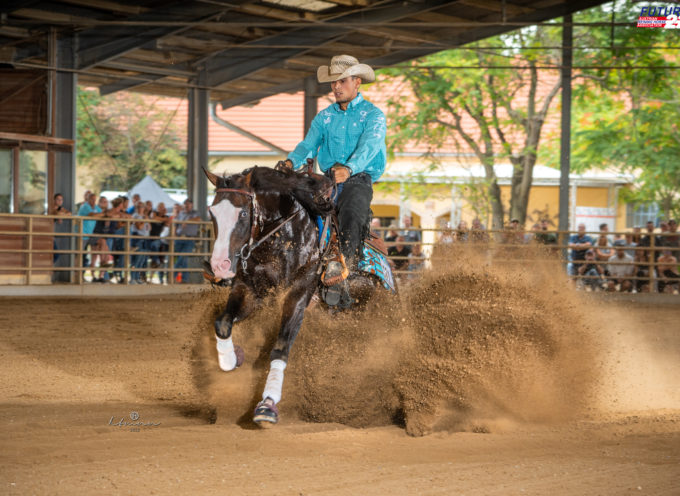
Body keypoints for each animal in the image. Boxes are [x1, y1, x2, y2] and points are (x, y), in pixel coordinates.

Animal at [203, 166, 394, 426]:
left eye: (242, 213)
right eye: (212, 212)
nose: (220, 266)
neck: (286, 235)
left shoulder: (298, 294)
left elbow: (281, 347)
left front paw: (267, 405)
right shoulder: (250, 289)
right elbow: (223, 323)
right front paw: (230, 359)